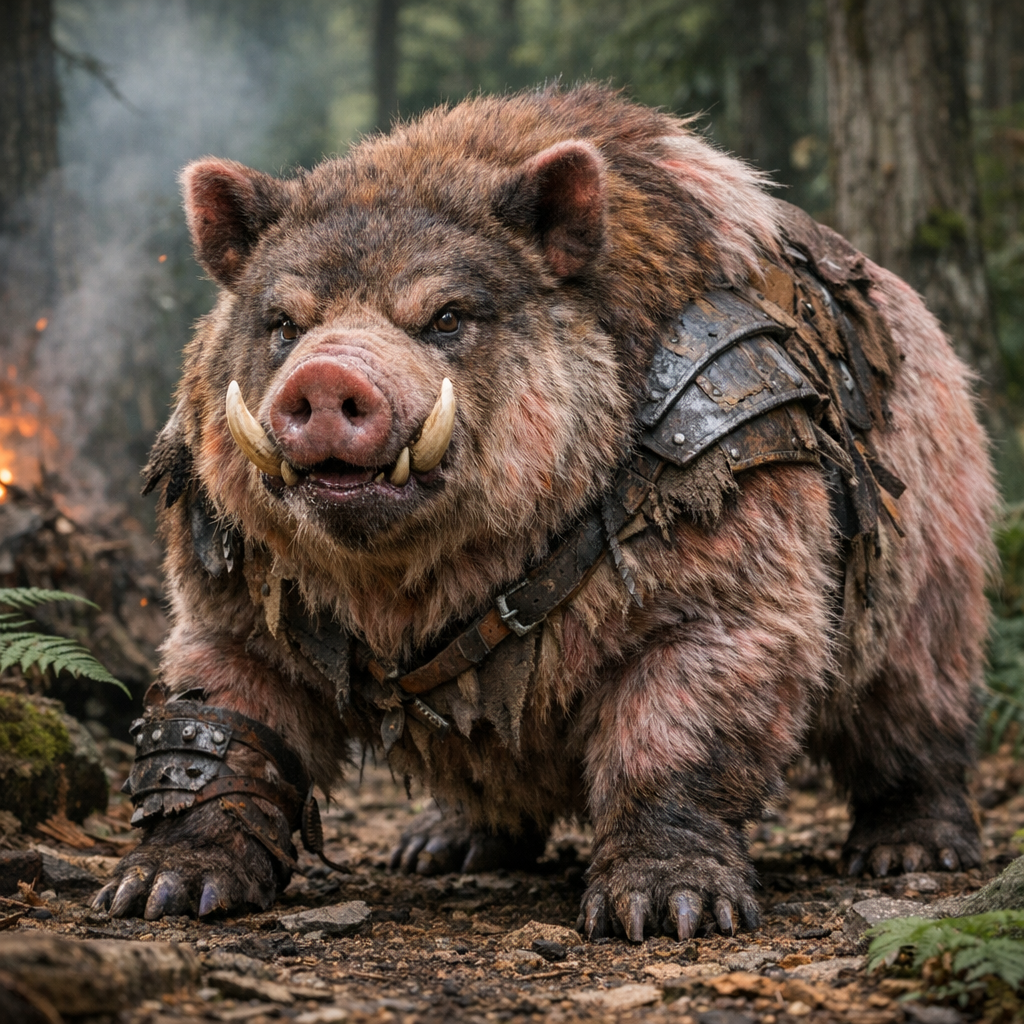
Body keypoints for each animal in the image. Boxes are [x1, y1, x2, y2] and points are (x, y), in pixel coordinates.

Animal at [94, 85, 995, 941]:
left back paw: (910, 851)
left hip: (932, 534)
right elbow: (222, 695)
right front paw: (155, 893)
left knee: (915, 694)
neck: (414, 587)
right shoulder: (234, 564)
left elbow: (694, 697)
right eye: (285, 322)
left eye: (447, 315)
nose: (325, 377)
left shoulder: (724, 491)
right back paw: (434, 847)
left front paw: (661, 911)